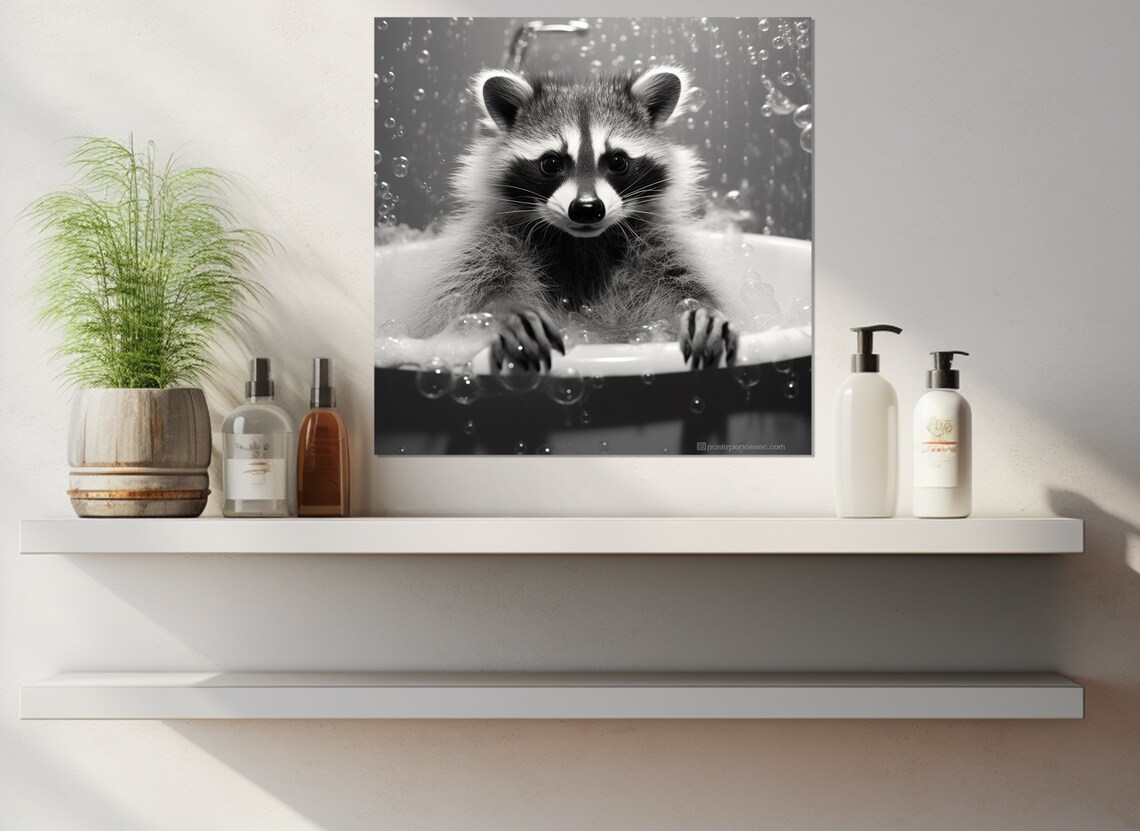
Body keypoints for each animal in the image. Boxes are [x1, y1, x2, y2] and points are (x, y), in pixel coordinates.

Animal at [416, 65, 738, 371]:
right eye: (551, 163)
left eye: (618, 161)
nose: (587, 207)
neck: (581, 241)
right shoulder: (490, 242)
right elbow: (472, 293)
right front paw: (505, 310)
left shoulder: (656, 243)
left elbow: (680, 285)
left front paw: (696, 308)